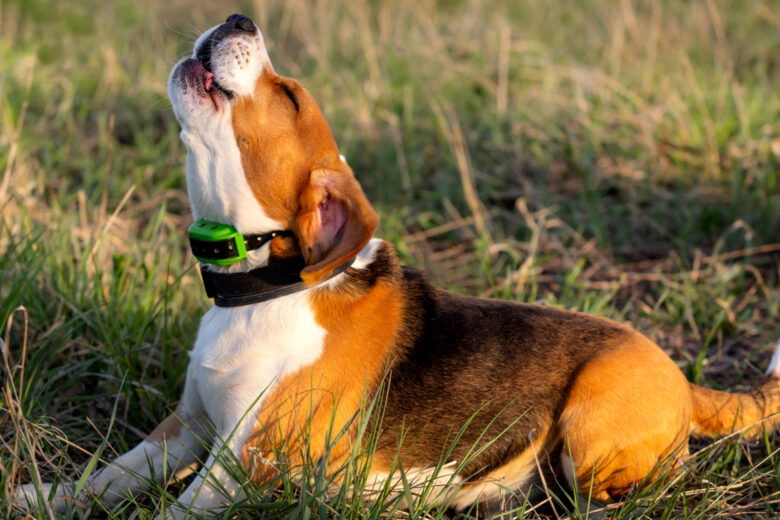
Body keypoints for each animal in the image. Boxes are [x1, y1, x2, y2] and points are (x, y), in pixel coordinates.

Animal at [13, 13, 780, 520]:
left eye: (287, 96)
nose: (239, 16)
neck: (261, 293)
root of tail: (680, 376)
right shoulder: (186, 430)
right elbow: (107, 478)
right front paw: (42, 496)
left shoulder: (245, 463)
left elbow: (171, 509)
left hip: (589, 433)